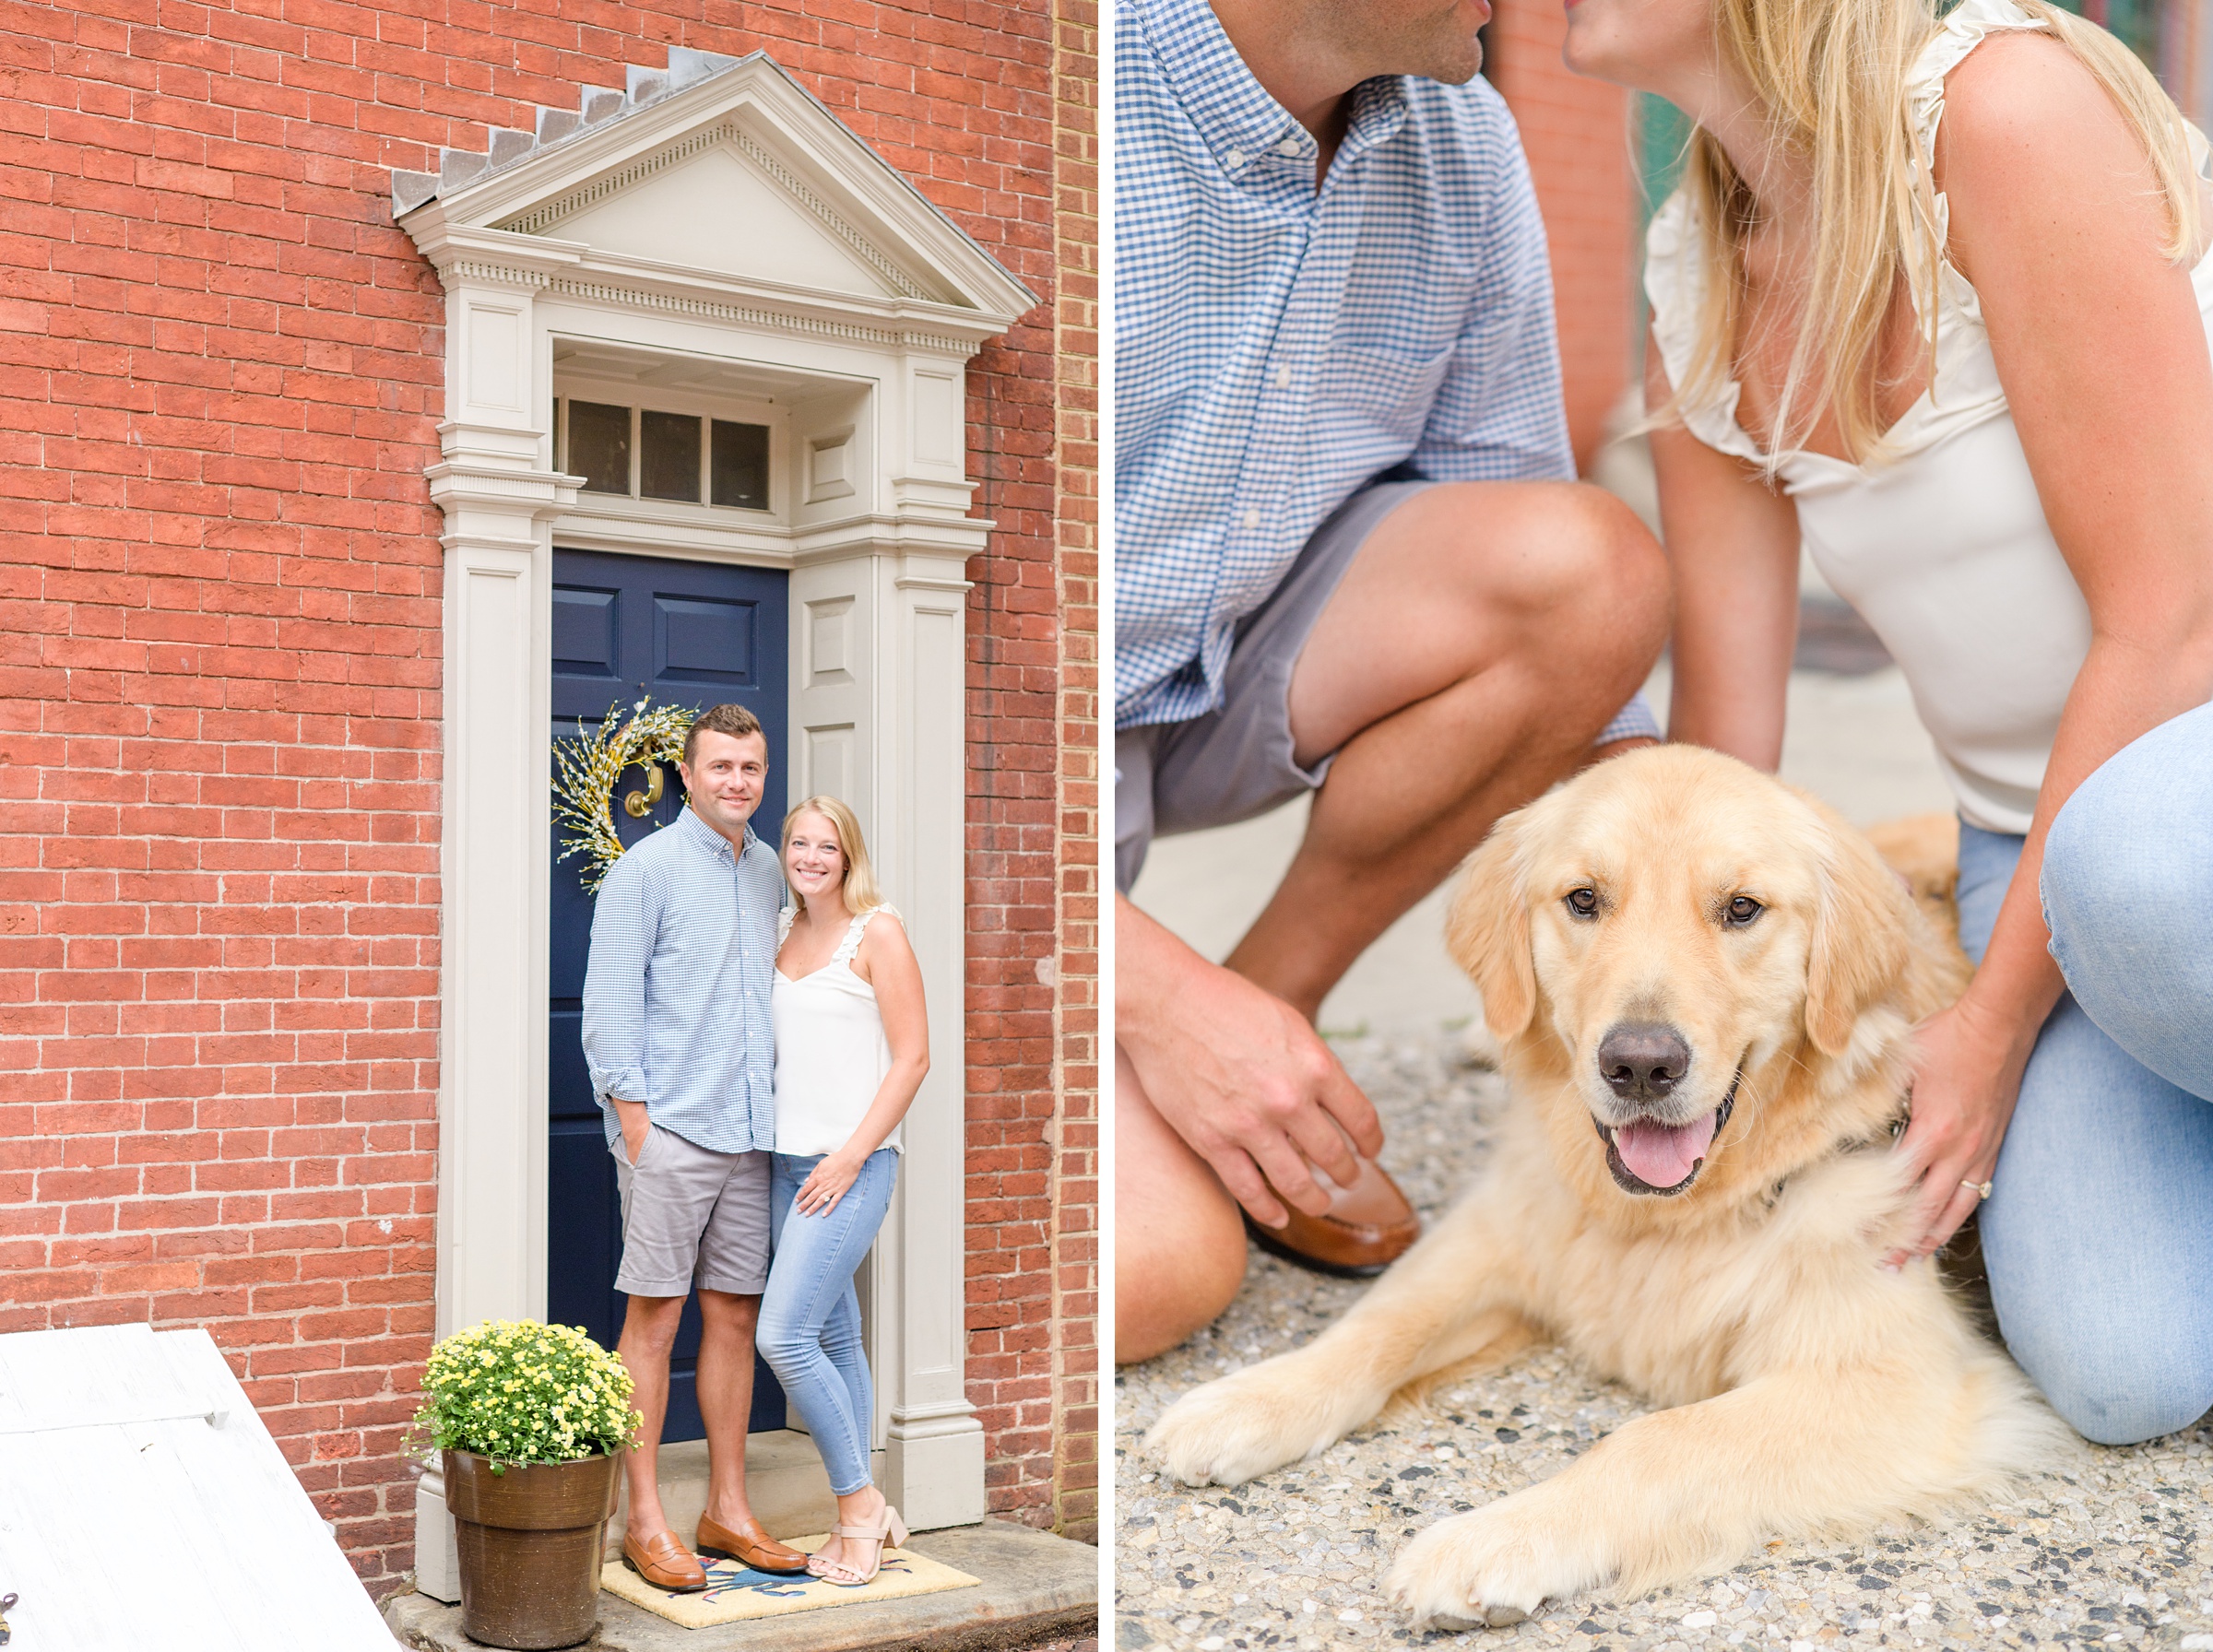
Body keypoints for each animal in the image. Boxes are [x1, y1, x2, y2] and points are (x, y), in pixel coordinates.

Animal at [1151, 747, 2062, 1627]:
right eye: (1584, 900)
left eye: (1742, 909)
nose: (1642, 1065)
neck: (1669, 1216)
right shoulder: (1511, 1226)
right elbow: (1382, 1321)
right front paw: (1248, 1400)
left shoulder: (1901, 1380)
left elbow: (1658, 1439)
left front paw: (1493, 1540)